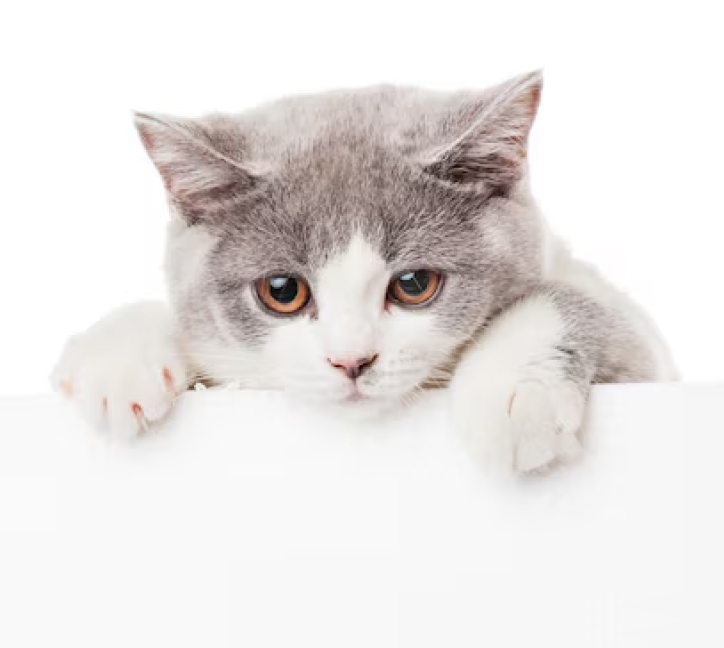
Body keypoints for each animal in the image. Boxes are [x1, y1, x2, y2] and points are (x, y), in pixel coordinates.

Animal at [52, 72, 680, 470]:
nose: (351, 362)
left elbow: (575, 303)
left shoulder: (647, 356)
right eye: (282, 291)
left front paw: (514, 385)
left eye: (414, 285)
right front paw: (116, 362)